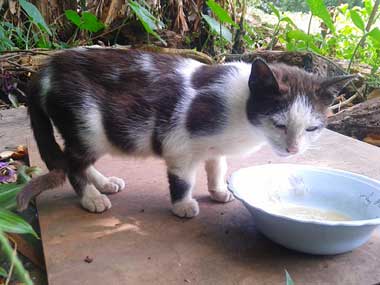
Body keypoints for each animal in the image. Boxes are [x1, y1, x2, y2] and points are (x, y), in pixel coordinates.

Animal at [15, 48, 356, 217]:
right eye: (280, 124)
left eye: (312, 128)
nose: (293, 149)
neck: (240, 111)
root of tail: (43, 70)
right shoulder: (179, 141)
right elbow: (183, 179)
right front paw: (183, 206)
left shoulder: (214, 147)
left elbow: (217, 166)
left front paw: (219, 191)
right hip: (86, 123)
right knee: (73, 163)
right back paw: (92, 198)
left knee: (79, 160)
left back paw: (105, 183)